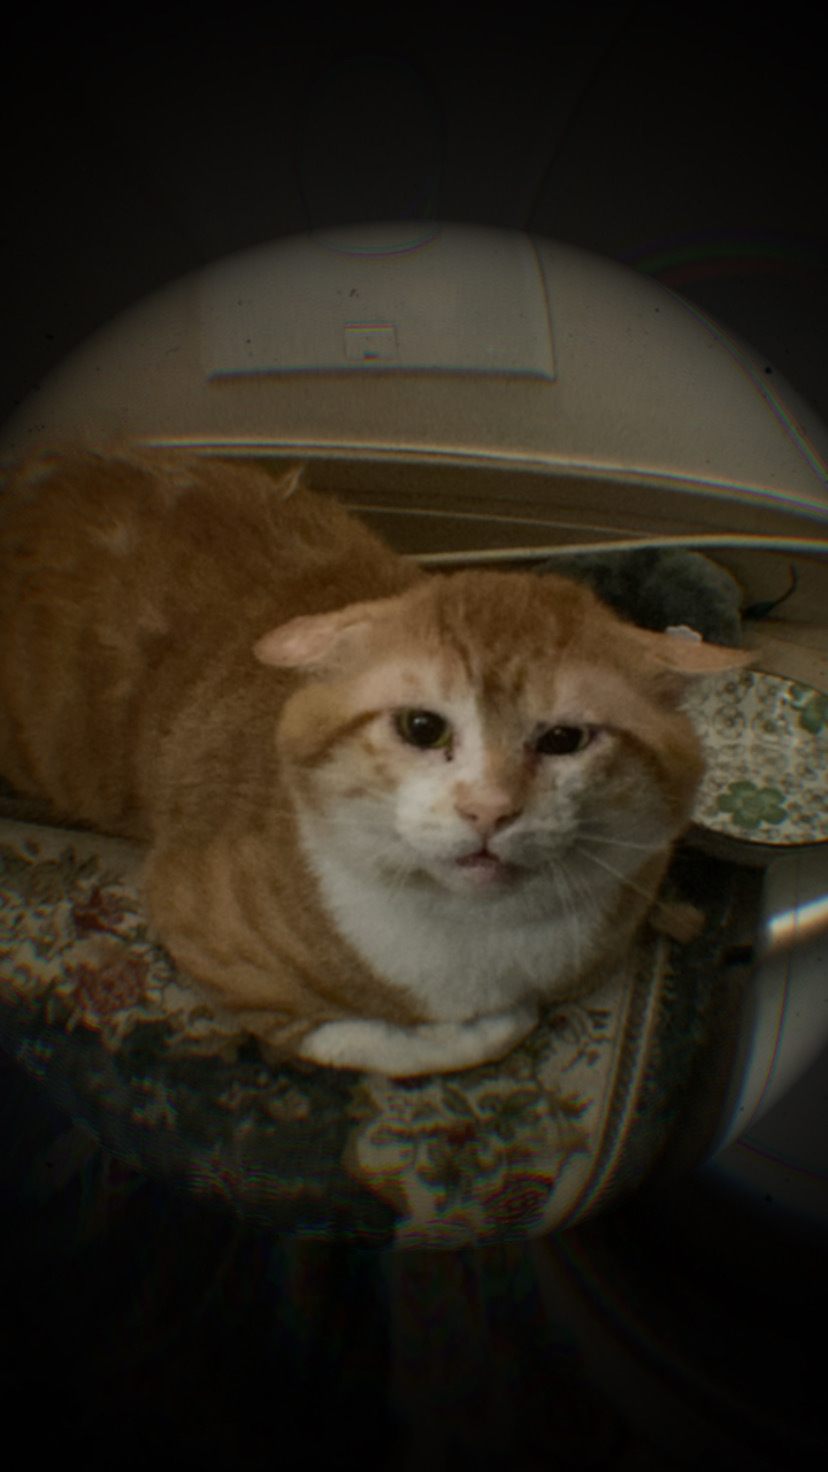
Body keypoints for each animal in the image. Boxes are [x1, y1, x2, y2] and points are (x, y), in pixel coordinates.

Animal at [0, 444, 751, 1075]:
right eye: (422, 727)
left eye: (564, 739)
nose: (488, 810)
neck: (483, 936)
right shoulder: (211, 946)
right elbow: (398, 1042)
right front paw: (487, 1023)